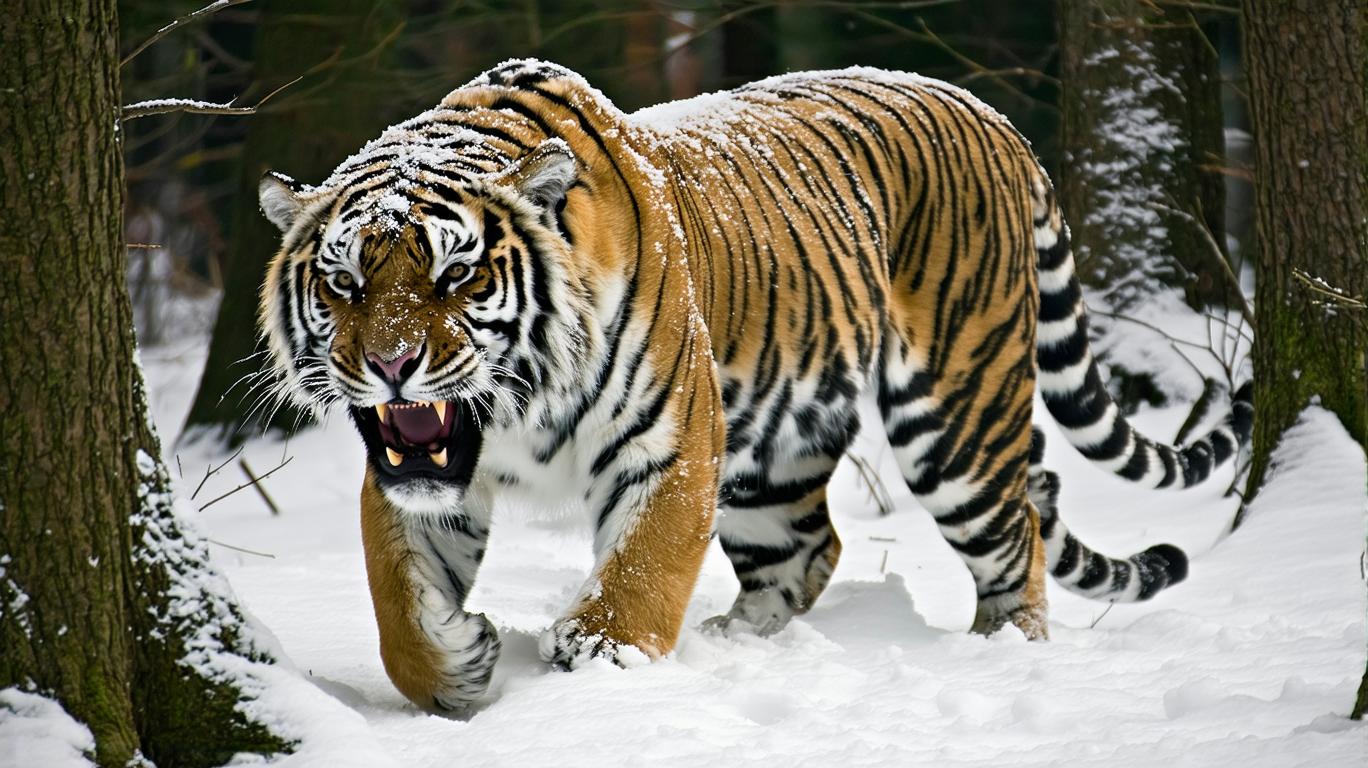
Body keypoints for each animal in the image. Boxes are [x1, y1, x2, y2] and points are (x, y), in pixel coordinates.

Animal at [257, 59, 1253, 712]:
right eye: (344, 283)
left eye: (455, 275)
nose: (391, 365)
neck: (514, 409)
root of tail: (989, 112)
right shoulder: (414, 471)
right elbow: (398, 604)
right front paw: (458, 663)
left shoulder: (669, 439)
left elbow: (645, 565)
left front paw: (605, 660)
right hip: (773, 459)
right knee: (812, 549)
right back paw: (735, 642)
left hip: (955, 423)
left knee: (1019, 539)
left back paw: (1002, 652)